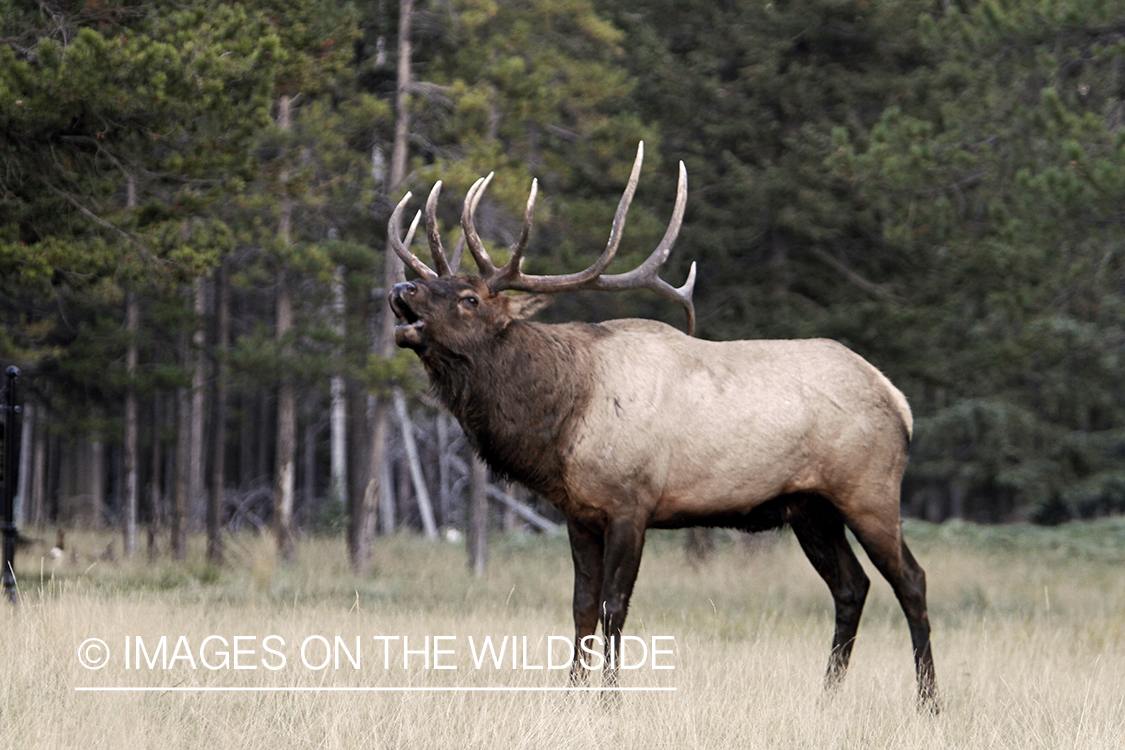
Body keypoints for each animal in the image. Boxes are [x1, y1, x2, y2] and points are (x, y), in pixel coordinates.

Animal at [385, 143, 938, 711]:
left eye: (469, 298)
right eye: (434, 283)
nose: (403, 285)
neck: (563, 423)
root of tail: (899, 401)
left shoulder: (634, 502)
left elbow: (614, 605)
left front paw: (609, 701)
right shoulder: (579, 513)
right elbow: (581, 606)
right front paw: (569, 696)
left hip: (869, 490)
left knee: (911, 580)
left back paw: (928, 701)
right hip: (810, 507)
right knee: (851, 587)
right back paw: (826, 696)